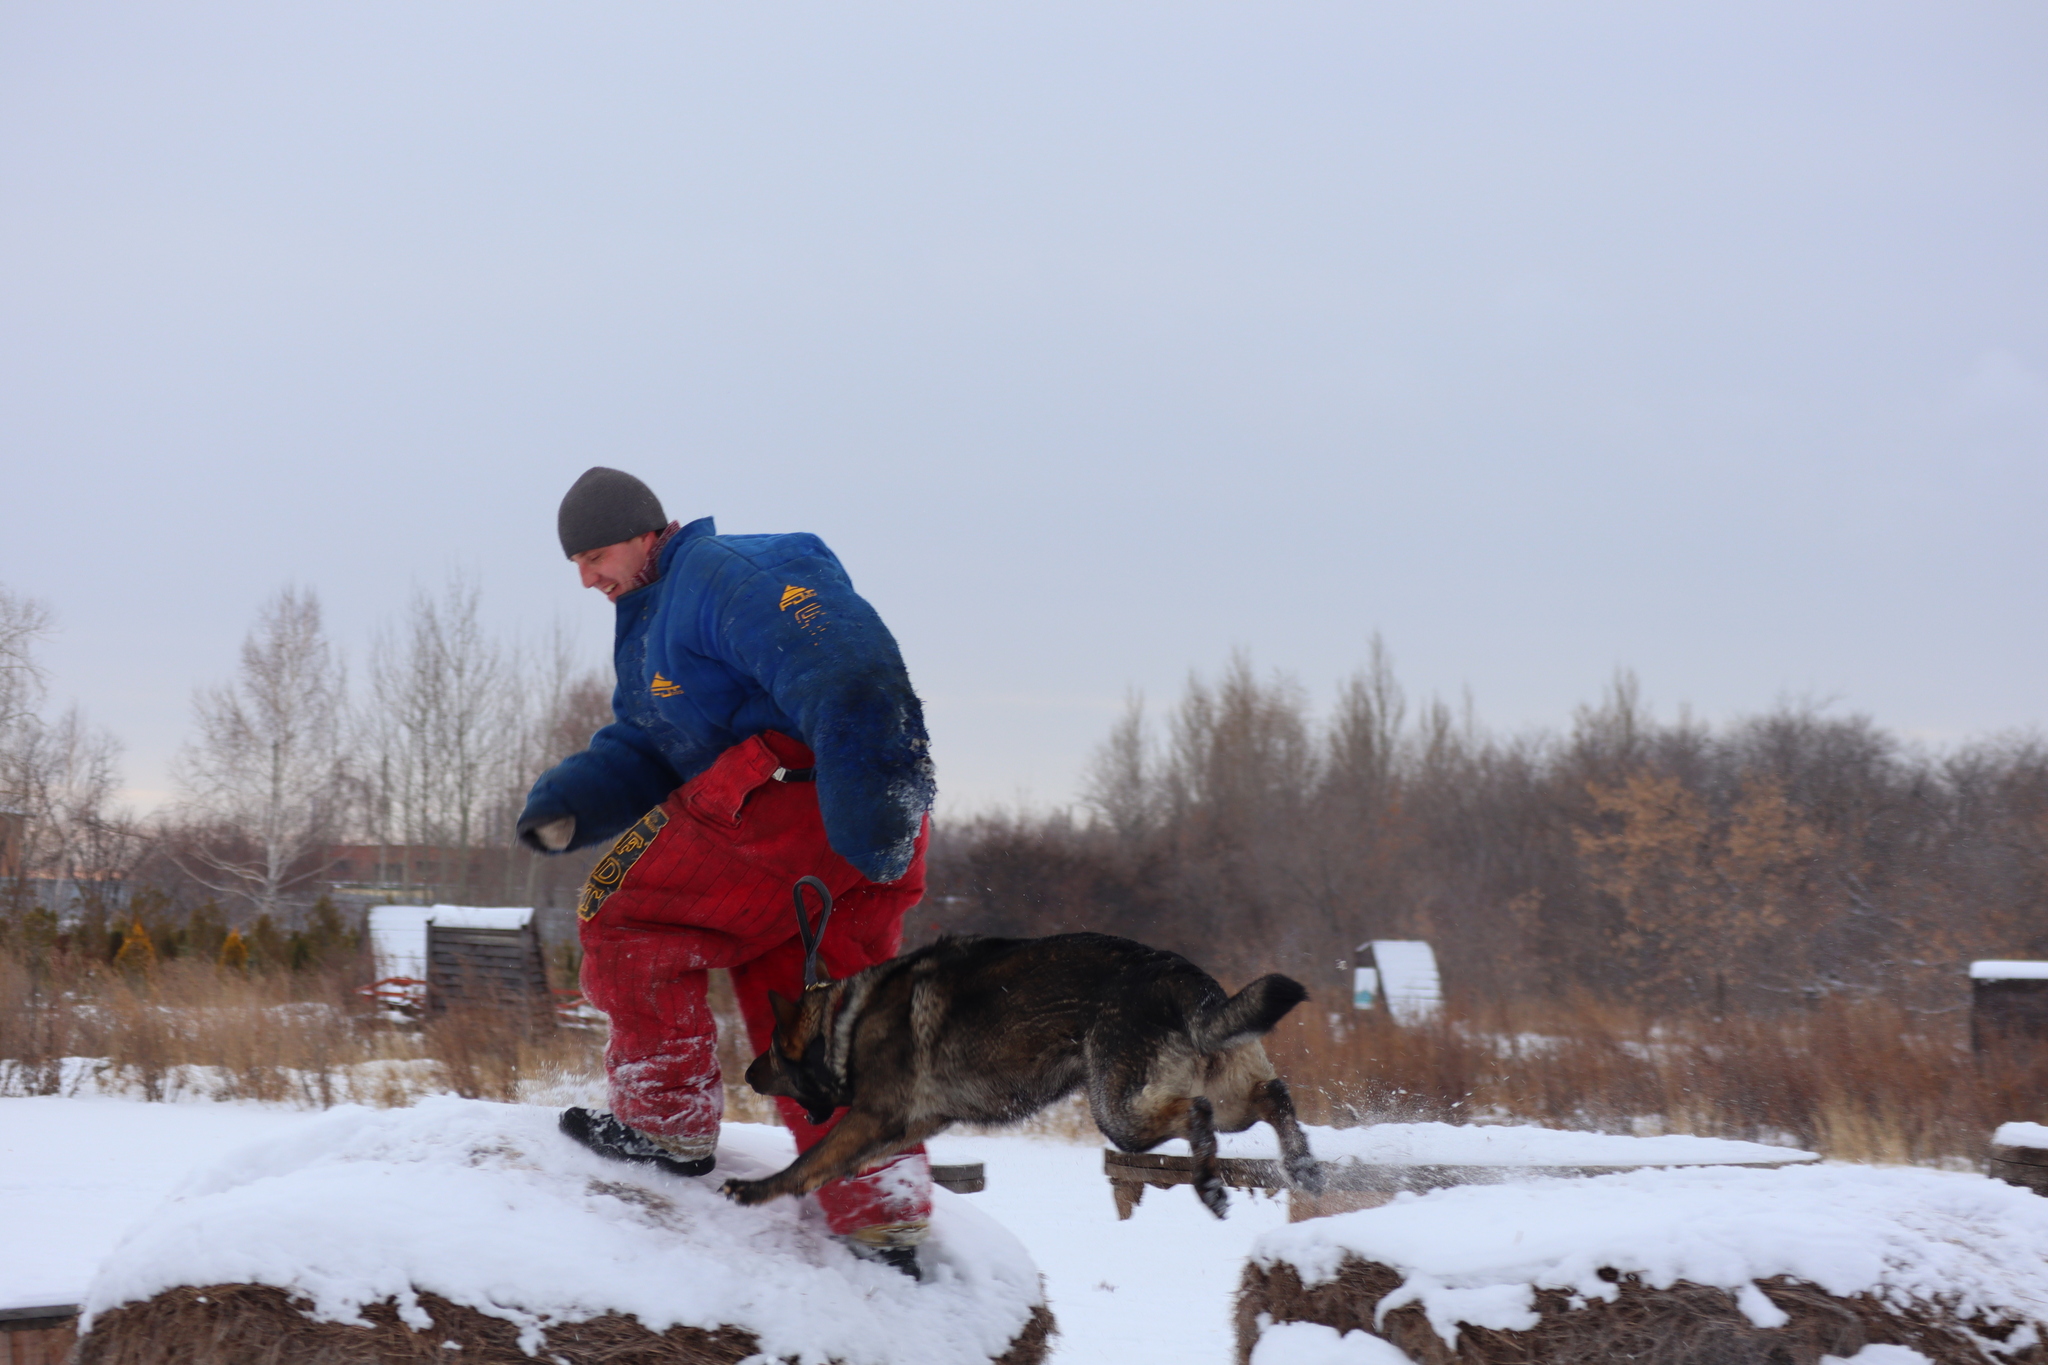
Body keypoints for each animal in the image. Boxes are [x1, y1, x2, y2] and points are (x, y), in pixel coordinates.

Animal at [724, 929, 1327, 1219]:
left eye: (772, 1051)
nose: (749, 1076)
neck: (843, 1021)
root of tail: (1180, 975)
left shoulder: (873, 1116)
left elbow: (809, 1161)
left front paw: (756, 1190)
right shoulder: (905, 1125)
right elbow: (834, 1164)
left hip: (1122, 1113)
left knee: (1195, 1112)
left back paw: (1208, 1185)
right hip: (1225, 1092)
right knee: (1273, 1094)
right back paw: (1301, 1166)